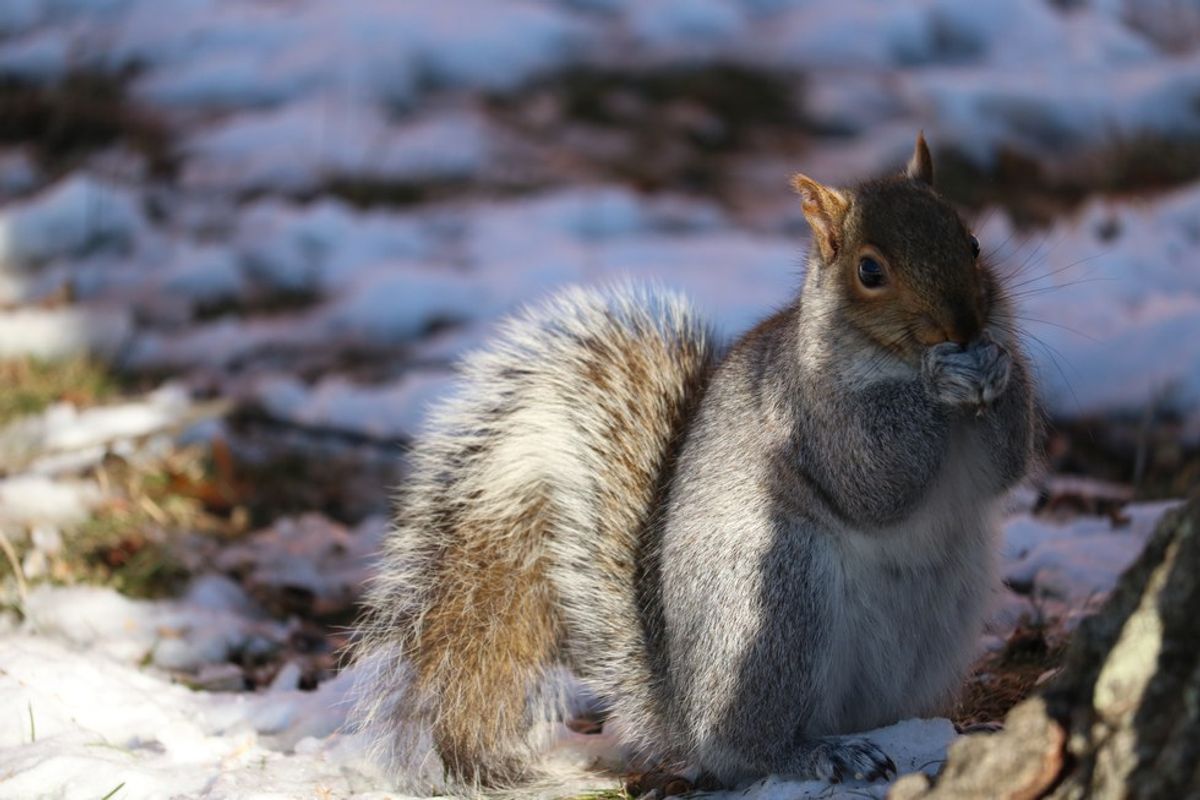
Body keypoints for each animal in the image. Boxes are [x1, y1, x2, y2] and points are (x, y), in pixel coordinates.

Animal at [348, 136, 1032, 796]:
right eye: (869, 271)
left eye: (971, 241)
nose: (965, 326)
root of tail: (682, 711)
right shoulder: (814, 414)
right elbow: (871, 482)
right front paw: (940, 378)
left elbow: (1006, 466)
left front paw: (999, 367)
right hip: (774, 605)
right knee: (745, 749)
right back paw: (819, 752)